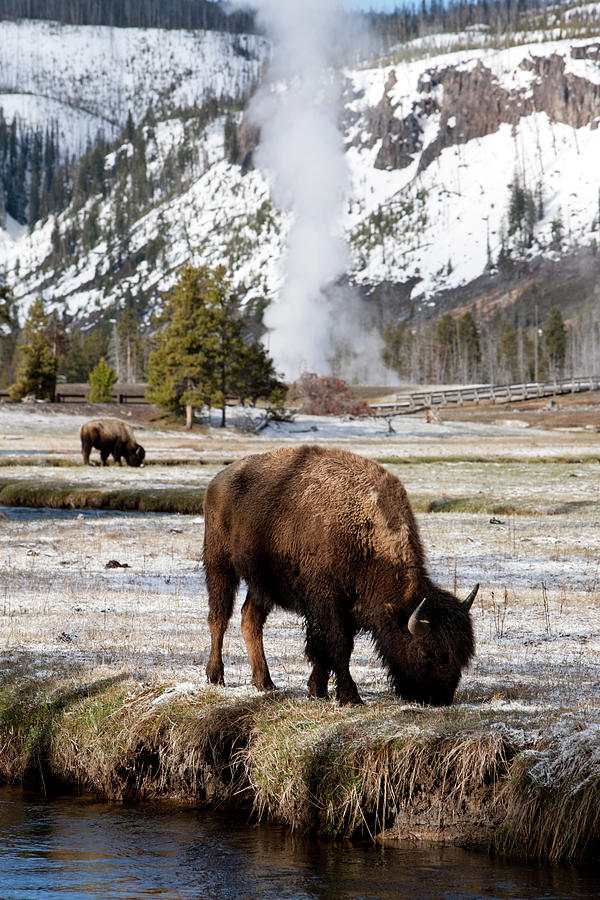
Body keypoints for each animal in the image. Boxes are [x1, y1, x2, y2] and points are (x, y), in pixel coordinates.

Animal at [204, 446, 476, 708]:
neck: (363, 530)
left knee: (250, 618)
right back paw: (216, 676)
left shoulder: (347, 606)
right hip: (219, 564)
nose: (439, 698)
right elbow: (336, 645)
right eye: (427, 653)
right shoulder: (327, 602)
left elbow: (328, 648)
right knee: (219, 617)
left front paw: (318, 690)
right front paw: (349, 696)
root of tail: (218, 479)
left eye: (463, 656)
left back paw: (265, 682)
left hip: (262, 583)